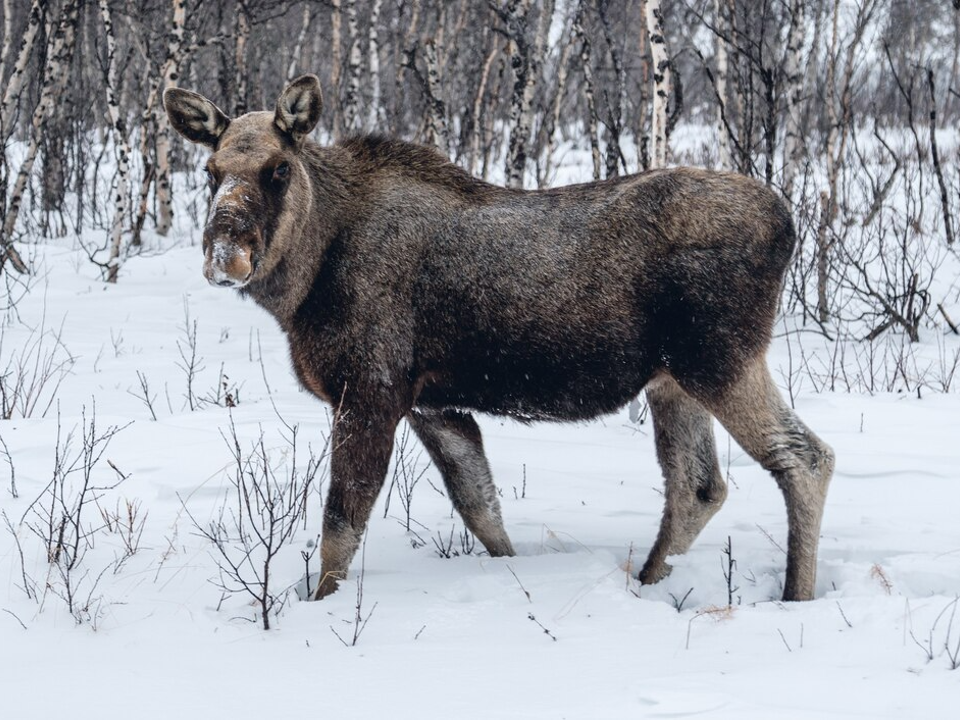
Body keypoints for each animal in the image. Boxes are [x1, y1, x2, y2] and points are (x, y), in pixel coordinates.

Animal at [163, 74, 832, 600]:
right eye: (211, 171)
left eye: (278, 168)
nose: (226, 255)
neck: (305, 281)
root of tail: (788, 222)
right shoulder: (433, 403)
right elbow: (483, 509)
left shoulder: (371, 390)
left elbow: (339, 529)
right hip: (672, 380)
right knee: (698, 486)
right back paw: (646, 583)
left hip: (720, 359)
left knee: (804, 457)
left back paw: (795, 596)